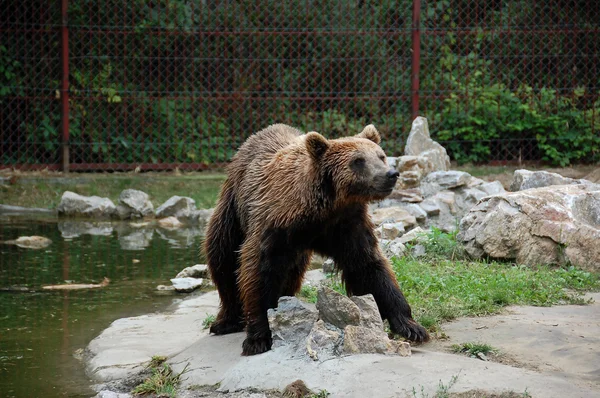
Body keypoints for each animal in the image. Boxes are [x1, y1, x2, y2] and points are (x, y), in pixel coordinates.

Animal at [204, 123, 428, 354]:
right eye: (358, 160)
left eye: (381, 156)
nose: (390, 174)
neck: (320, 209)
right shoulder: (273, 226)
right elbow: (257, 271)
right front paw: (258, 338)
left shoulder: (346, 226)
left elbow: (369, 266)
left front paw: (411, 327)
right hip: (232, 210)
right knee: (222, 258)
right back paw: (225, 321)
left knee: (291, 271)